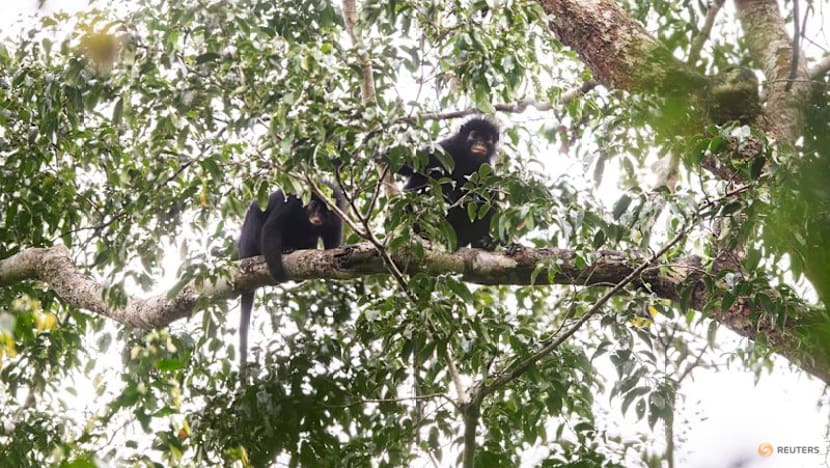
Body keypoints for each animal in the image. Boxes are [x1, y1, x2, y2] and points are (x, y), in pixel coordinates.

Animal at [237, 182, 345, 369]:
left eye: (325, 210)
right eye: (314, 206)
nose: (317, 216)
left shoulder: (336, 214)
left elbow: (332, 245)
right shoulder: (292, 203)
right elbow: (272, 228)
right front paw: (278, 273)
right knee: (256, 213)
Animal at [395, 117, 501, 249]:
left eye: (487, 139)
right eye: (475, 136)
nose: (480, 143)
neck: (467, 159)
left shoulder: (487, 169)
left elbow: (490, 199)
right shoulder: (446, 149)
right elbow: (409, 165)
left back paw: (481, 242)